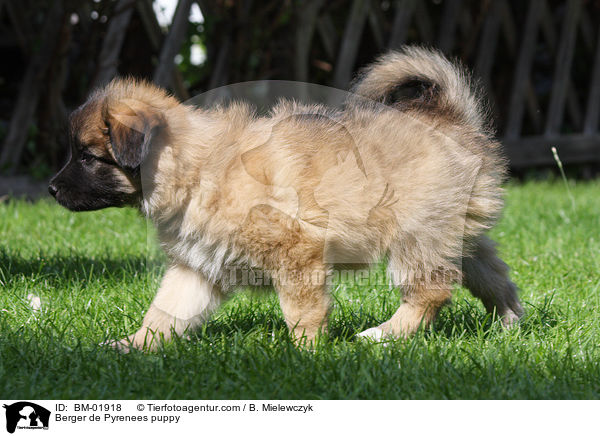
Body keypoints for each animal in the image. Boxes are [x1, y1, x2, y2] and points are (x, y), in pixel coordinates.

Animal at [49, 46, 524, 350]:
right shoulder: (197, 267)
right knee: (493, 276)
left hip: (416, 234)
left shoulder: (297, 251)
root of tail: (452, 118)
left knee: (431, 293)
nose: (51, 189)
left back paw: (382, 336)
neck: (196, 168)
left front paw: (303, 355)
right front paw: (131, 345)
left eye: (87, 157)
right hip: (454, 233)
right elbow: (165, 312)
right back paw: (509, 325)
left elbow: (302, 312)